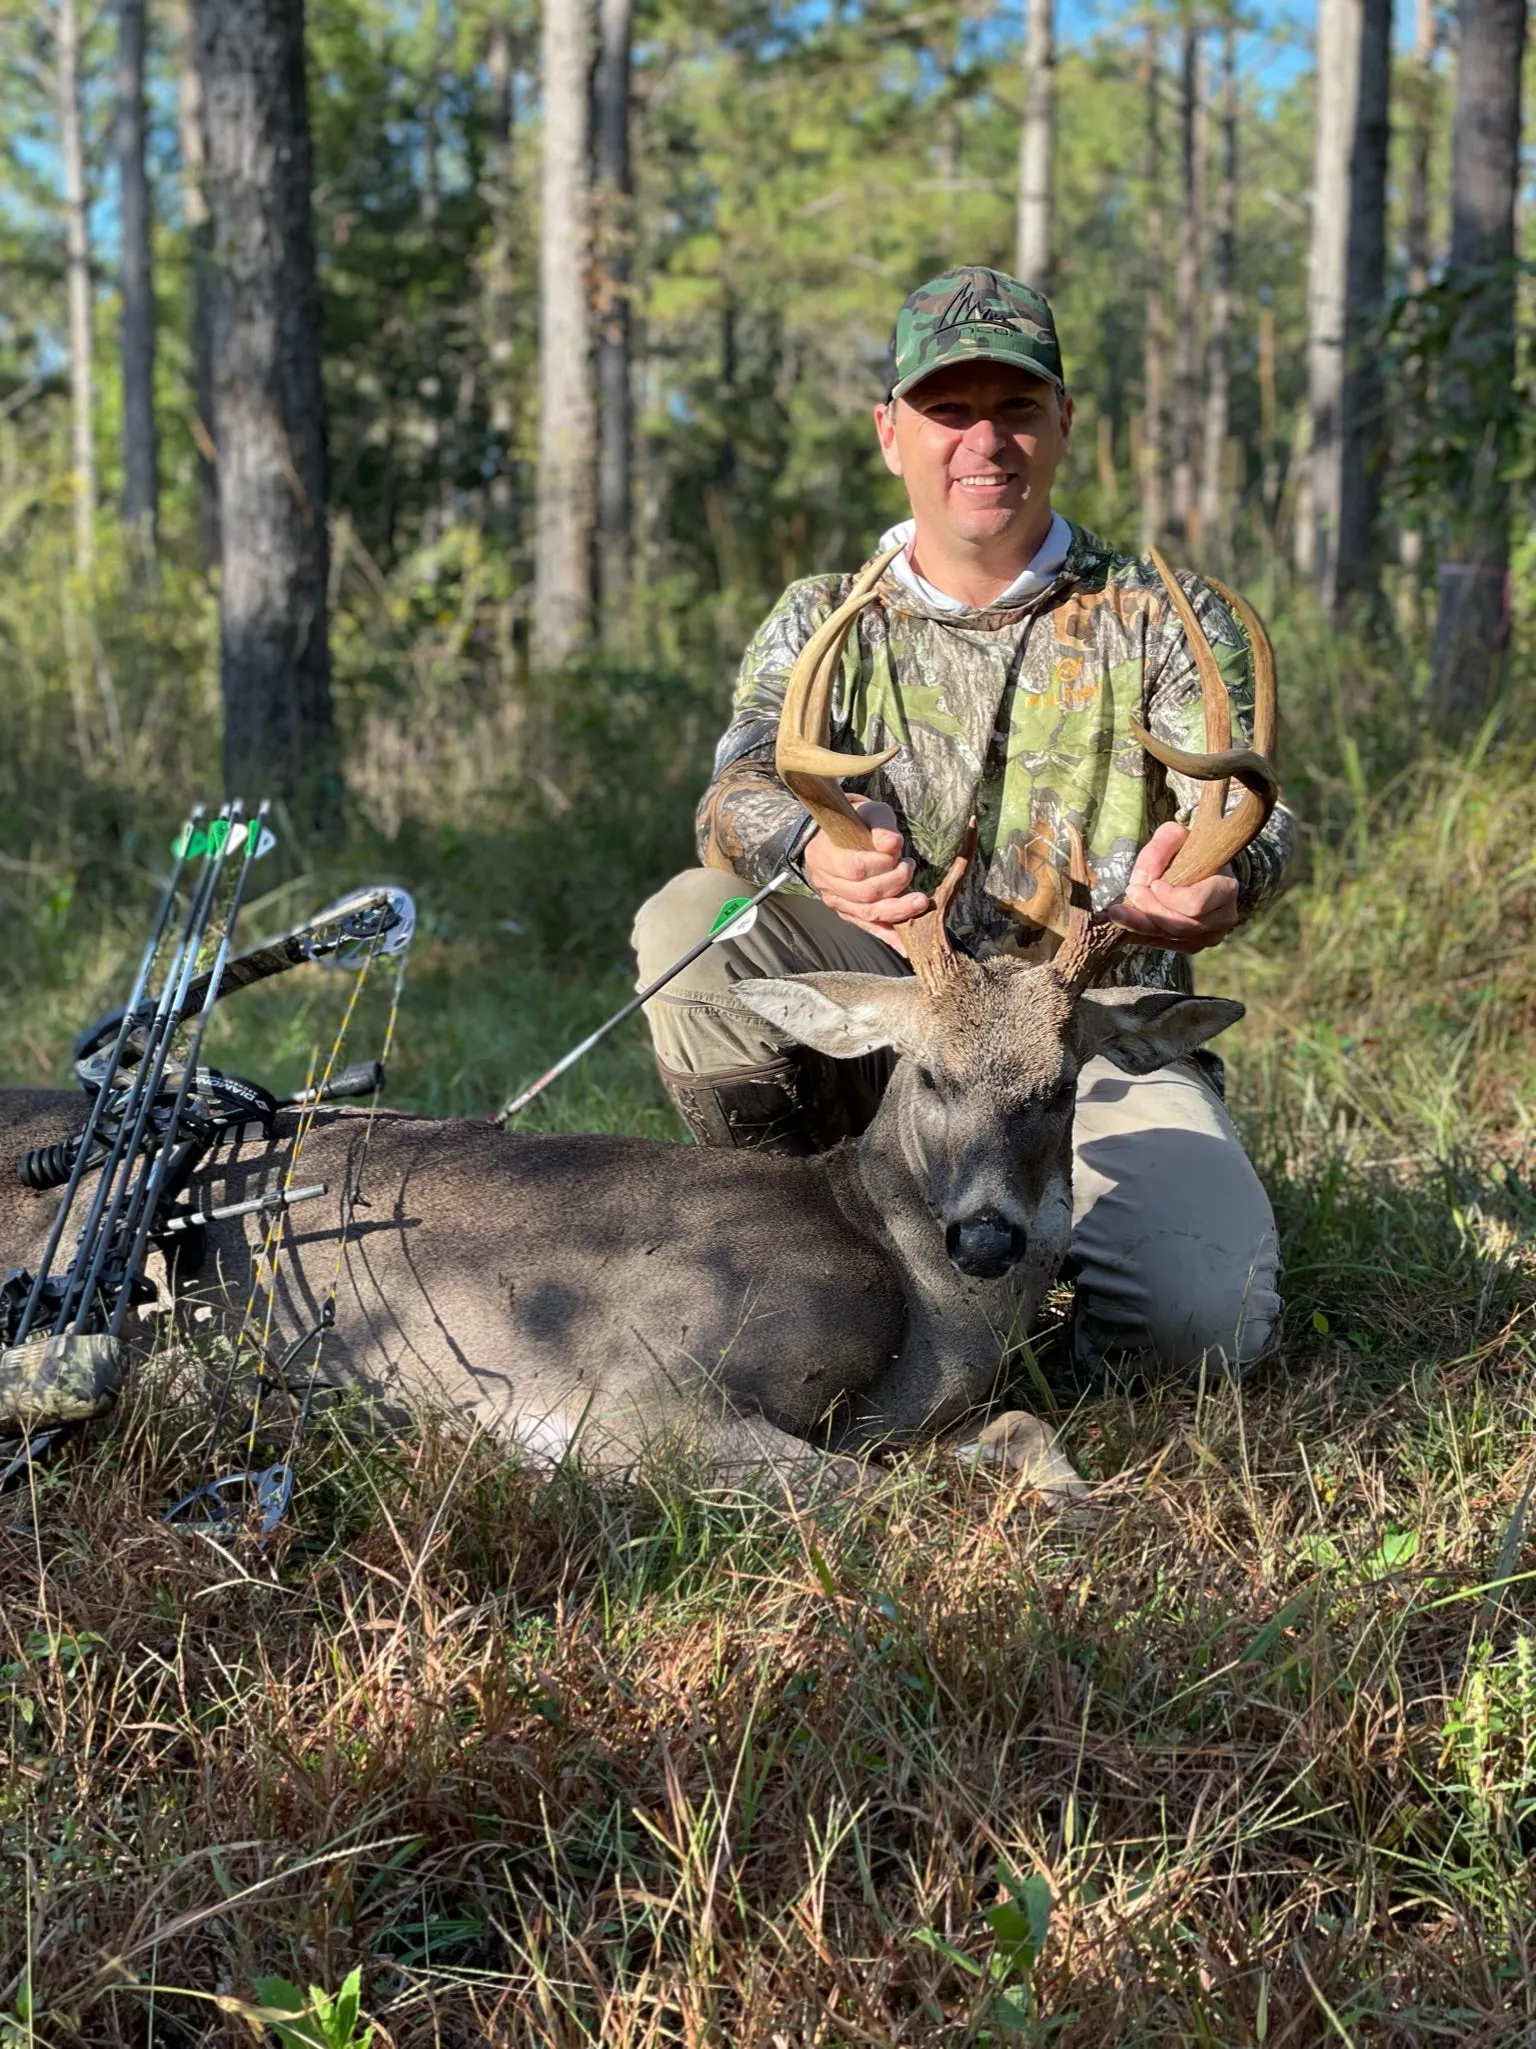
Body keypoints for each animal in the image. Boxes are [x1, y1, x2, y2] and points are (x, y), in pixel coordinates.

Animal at [0, 553, 1277, 1499]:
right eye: (924, 1074)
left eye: (1060, 1085)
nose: (989, 1238)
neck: (922, 1311)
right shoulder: (633, 1389)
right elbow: (864, 1489)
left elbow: (1025, 1438)